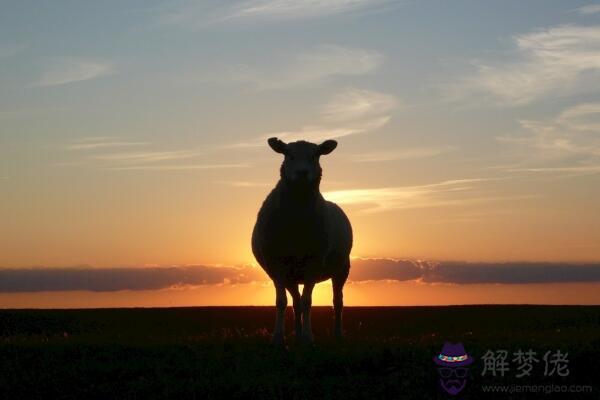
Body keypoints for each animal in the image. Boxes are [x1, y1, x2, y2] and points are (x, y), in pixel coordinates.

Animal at [252, 137, 352, 344]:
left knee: (337, 301)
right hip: (291, 275)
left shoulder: (314, 263)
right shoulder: (277, 265)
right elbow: (282, 302)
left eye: (316, 155)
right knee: (295, 302)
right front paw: (278, 338)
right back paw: (296, 335)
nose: (302, 173)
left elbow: (308, 302)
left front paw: (308, 337)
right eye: (288, 155)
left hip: (342, 269)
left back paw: (337, 334)